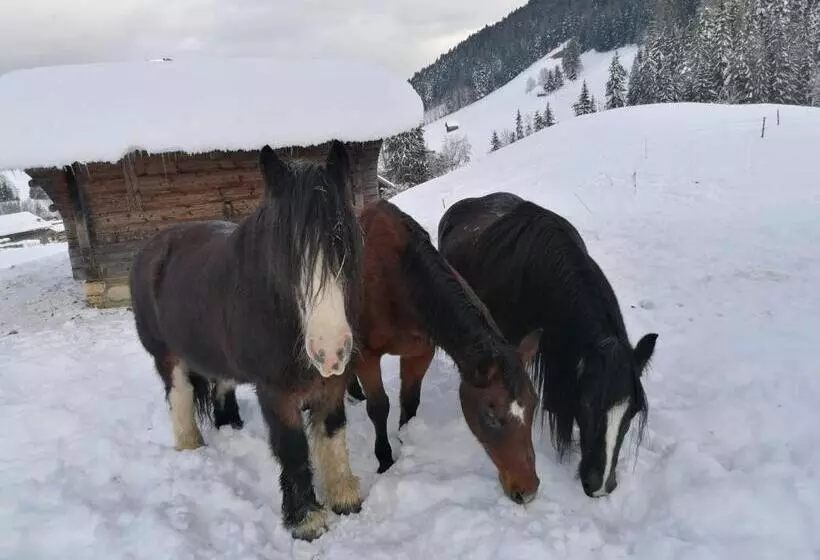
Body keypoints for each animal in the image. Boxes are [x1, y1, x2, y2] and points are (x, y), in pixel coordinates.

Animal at [129, 141, 363, 541]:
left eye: (343, 242)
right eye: (285, 254)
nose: (330, 351)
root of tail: (151, 250)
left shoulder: (333, 382)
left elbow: (332, 432)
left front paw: (344, 496)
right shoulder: (276, 392)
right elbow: (293, 449)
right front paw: (305, 520)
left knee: (221, 387)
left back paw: (231, 428)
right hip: (166, 357)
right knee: (180, 396)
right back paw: (191, 447)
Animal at [347, 199, 544, 504]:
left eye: (534, 404)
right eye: (490, 415)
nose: (528, 490)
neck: (400, 282)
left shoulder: (420, 353)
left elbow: (410, 402)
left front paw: (406, 439)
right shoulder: (367, 357)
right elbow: (379, 407)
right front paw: (385, 460)